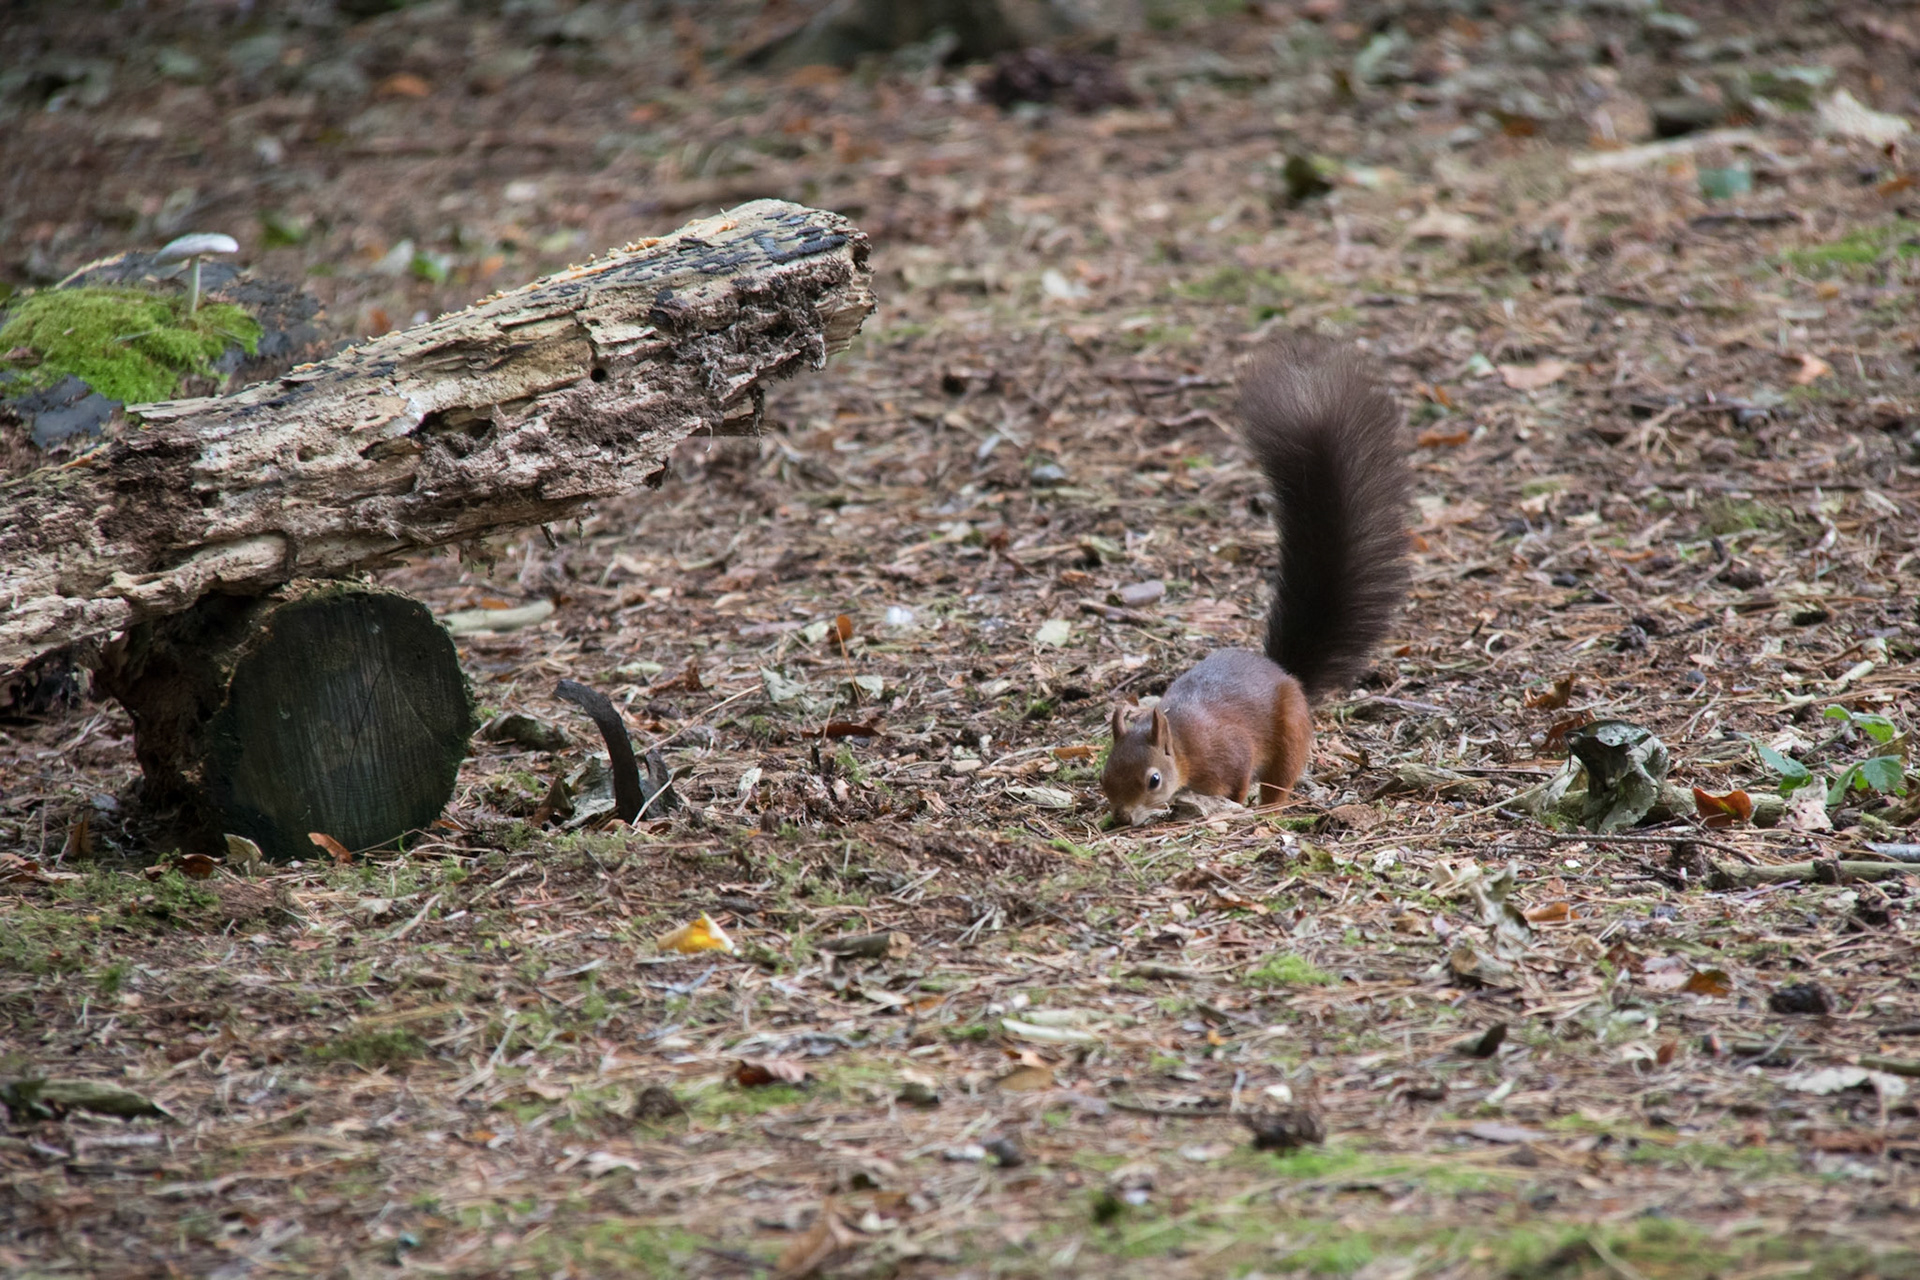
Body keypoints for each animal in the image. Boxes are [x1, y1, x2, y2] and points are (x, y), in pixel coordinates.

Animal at [1101, 334, 1411, 826]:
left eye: (1153, 780)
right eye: (1104, 773)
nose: (1122, 817)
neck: (1183, 742)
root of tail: (1285, 673)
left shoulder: (1232, 751)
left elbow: (1240, 777)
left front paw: (1230, 805)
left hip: (1290, 732)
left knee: (1280, 777)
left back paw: (1270, 807)